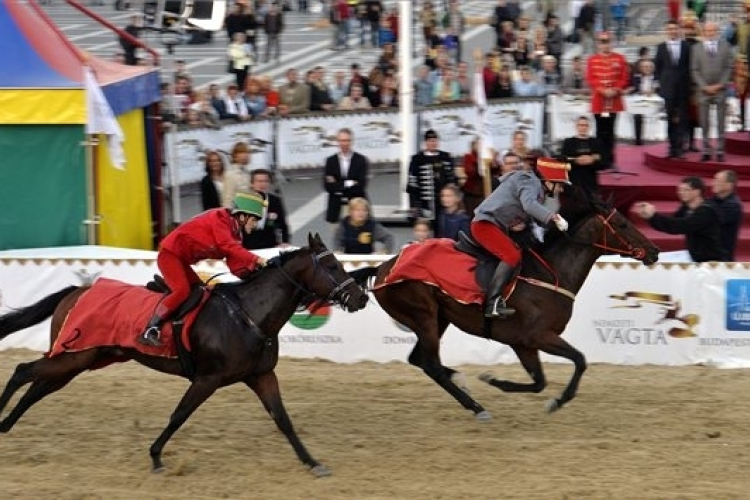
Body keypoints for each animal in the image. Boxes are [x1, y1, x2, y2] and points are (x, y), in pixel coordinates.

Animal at [0, 234, 368, 476]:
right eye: (332, 265)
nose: (360, 297)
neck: (249, 315)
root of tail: (77, 290)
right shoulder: (208, 378)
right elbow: (179, 415)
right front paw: (156, 457)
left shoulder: (261, 375)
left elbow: (283, 419)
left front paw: (312, 462)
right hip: (74, 355)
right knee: (22, 370)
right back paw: (2, 421)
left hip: (80, 359)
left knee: (37, 387)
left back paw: (7, 423)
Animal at [352, 189, 656, 420]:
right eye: (623, 224)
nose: (654, 251)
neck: (549, 274)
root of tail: (383, 268)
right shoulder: (538, 336)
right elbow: (579, 361)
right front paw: (557, 400)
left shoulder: (523, 343)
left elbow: (539, 382)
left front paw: (495, 381)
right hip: (423, 315)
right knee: (432, 365)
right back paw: (476, 406)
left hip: (438, 319)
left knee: (420, 360)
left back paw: (461, 381)